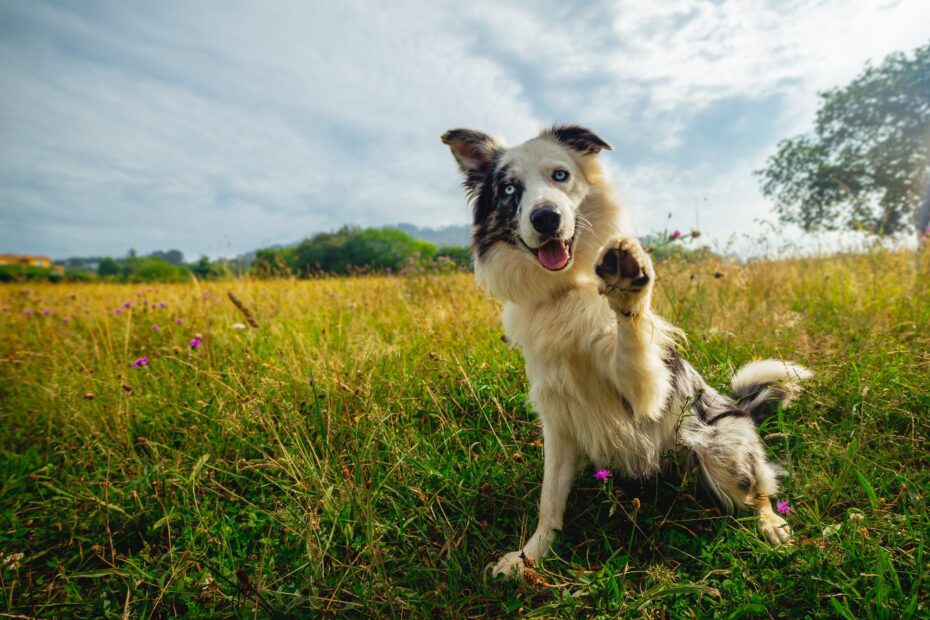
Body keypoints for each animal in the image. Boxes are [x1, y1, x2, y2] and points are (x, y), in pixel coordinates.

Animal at [438, 123, 808, 580]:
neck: (565, 290)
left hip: (720, 450)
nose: (546, 218)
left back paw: (770, 523)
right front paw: (531, 556)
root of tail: (740, 409)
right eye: (509, 189)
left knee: (758, 489)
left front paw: (629, 285)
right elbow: (549, 499)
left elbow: (632, 337)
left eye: (560, 175)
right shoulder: (557, 418)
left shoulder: (644, 392)